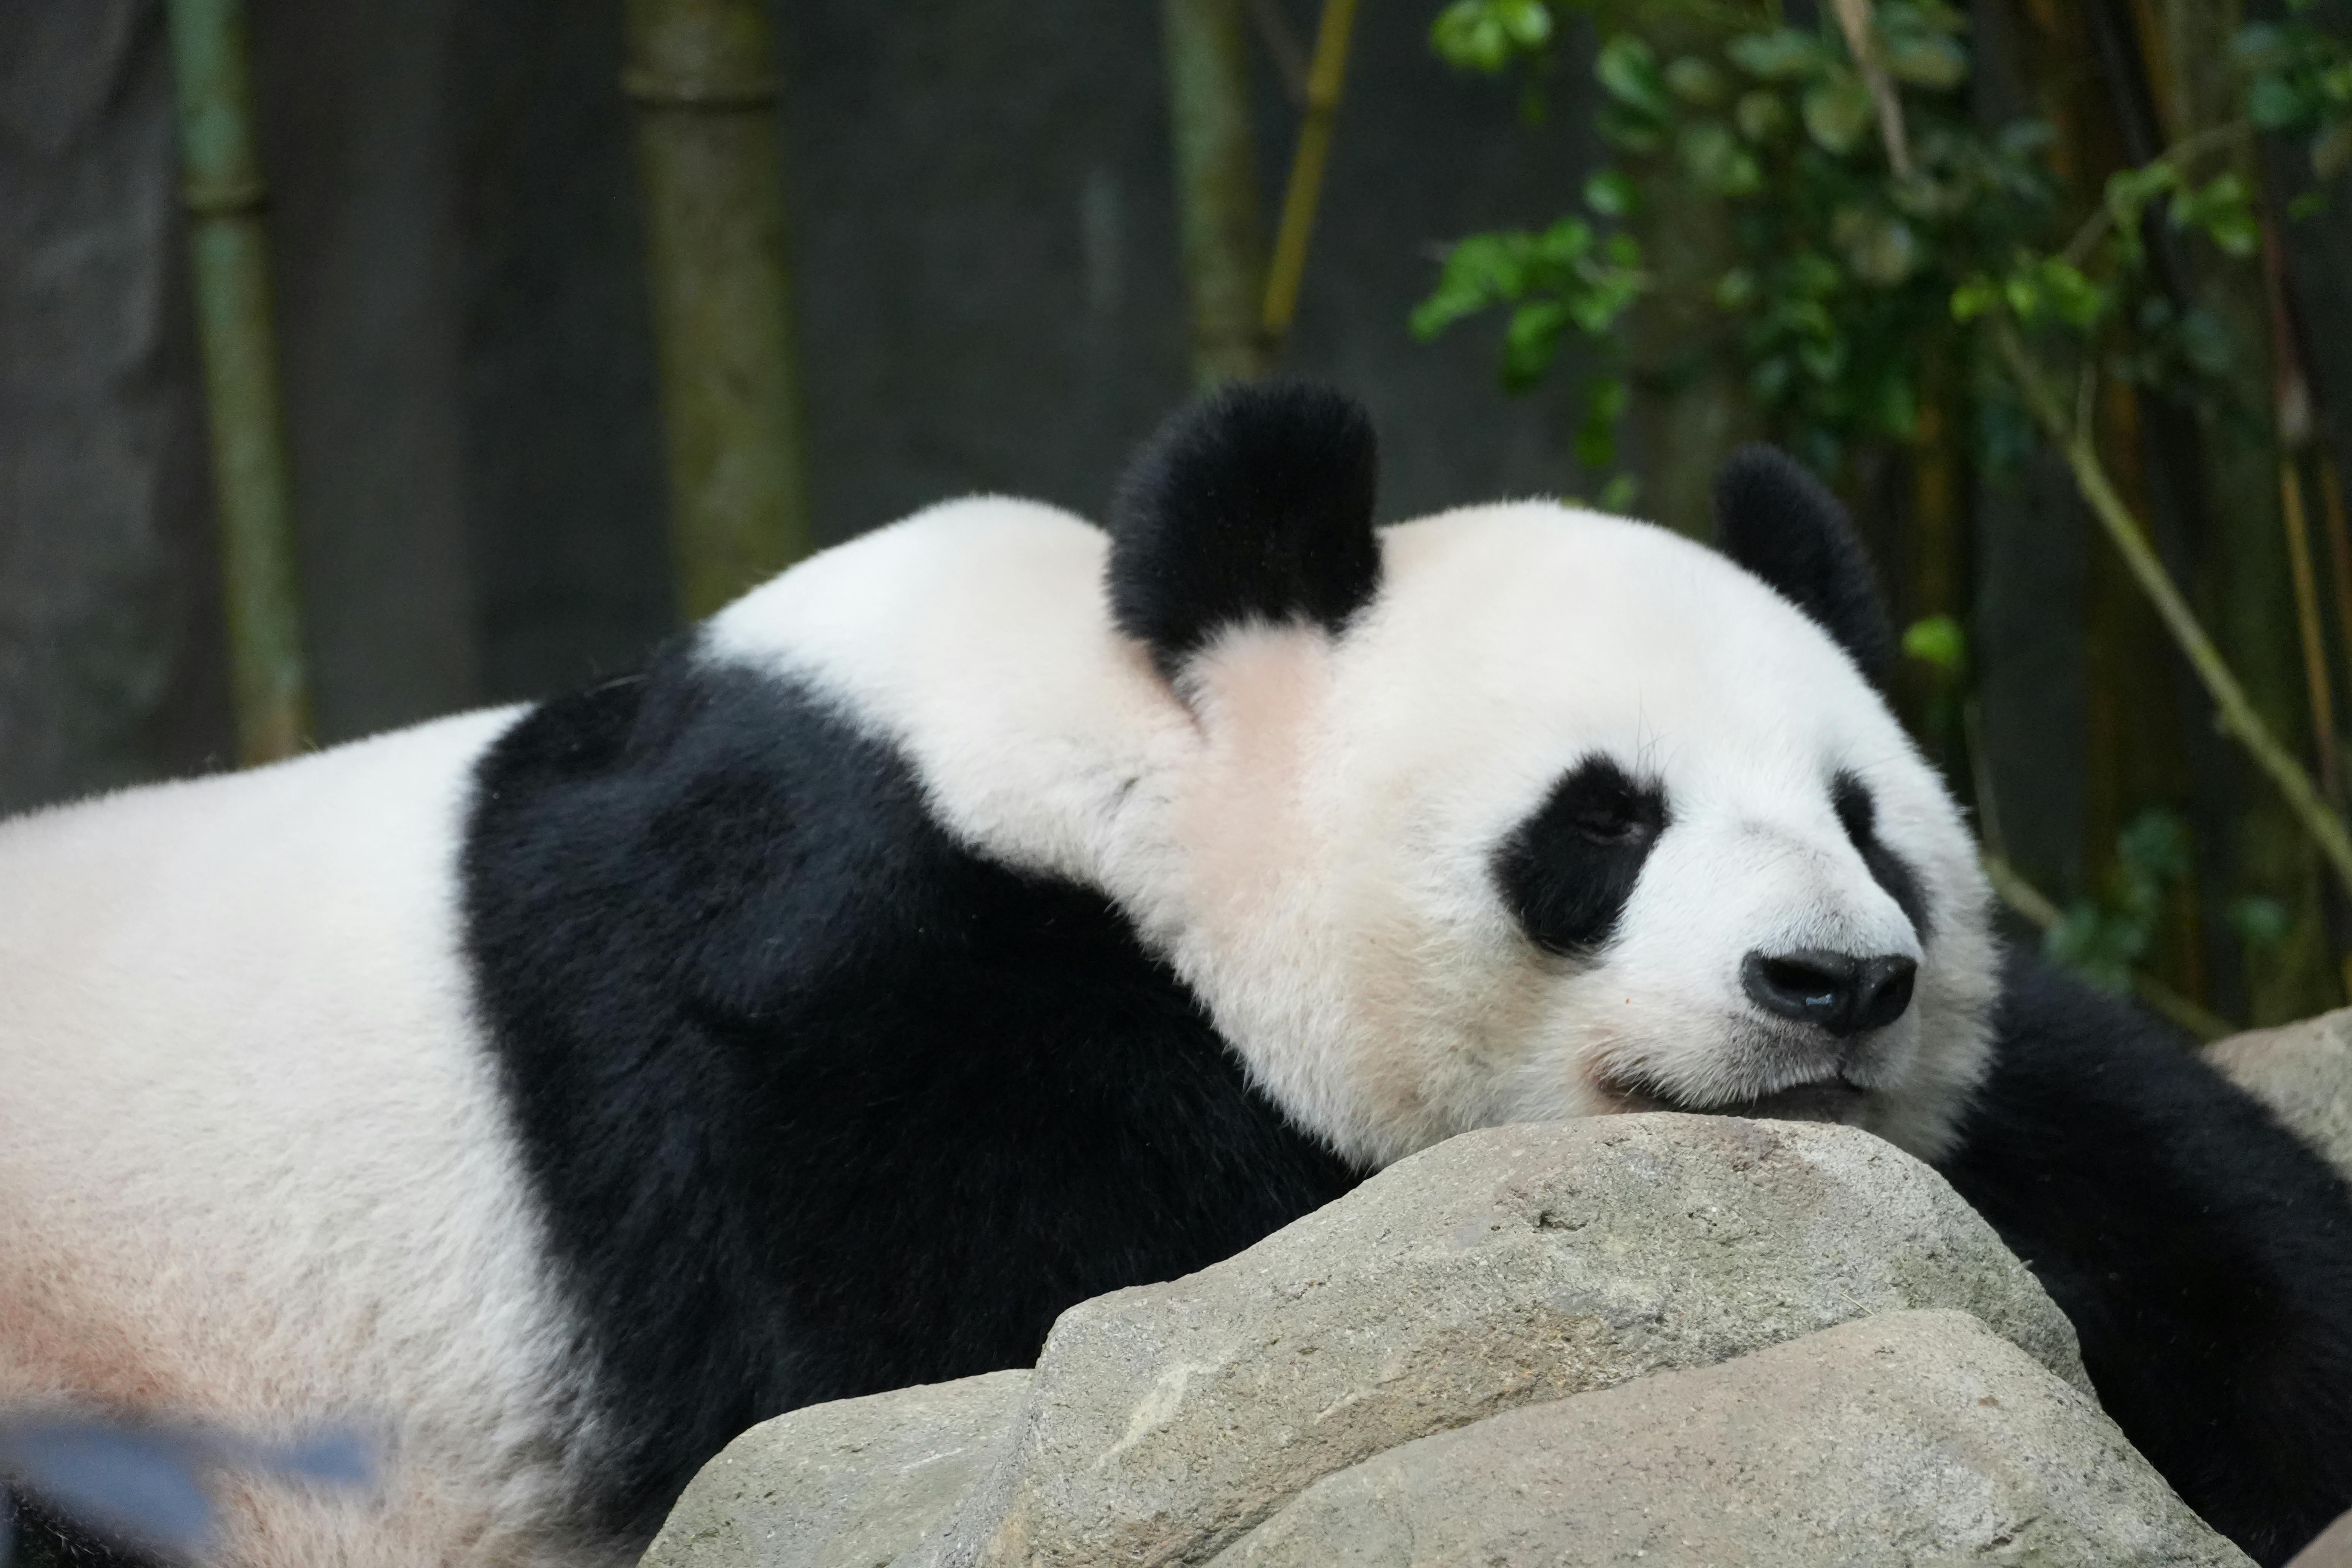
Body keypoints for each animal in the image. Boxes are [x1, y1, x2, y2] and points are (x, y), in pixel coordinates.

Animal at [2, 381, 2349, 1567]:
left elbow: (2119, 1156)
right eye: (1598, 821)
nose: (1831, 982)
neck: (1102, 760)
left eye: (1871, 822)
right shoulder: (831, 990)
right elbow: (994, 1325)